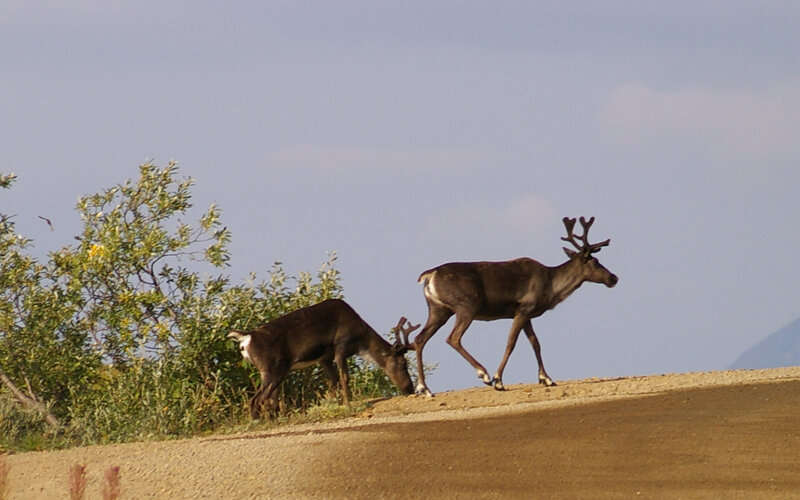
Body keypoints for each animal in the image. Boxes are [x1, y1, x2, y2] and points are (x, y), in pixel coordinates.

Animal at [227, 298, 419, 418]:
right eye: (403, 362)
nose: (410, 388)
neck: (360, 341)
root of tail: (245, 339)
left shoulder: (324, 357)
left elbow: (333, 380)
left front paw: (331, 403)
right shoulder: (341, 344)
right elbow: (344, 377)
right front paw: (348, 405)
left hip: (268, 370)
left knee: (267, 397)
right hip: (274, 367)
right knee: (257, 398)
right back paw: (260, 420)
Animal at [412, 216, 618, 397]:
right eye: (596, 262)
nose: (614, 278)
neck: (551, 286)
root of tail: (429, 275)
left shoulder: (526, 314)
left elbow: (536, 343)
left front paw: (546, 378)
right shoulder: (524, 309)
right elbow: (511, 343)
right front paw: (498, 380)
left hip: (438, 310)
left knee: (419, 339)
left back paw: (425, 389)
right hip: (467, 306)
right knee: (453, 338)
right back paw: (483, 374)